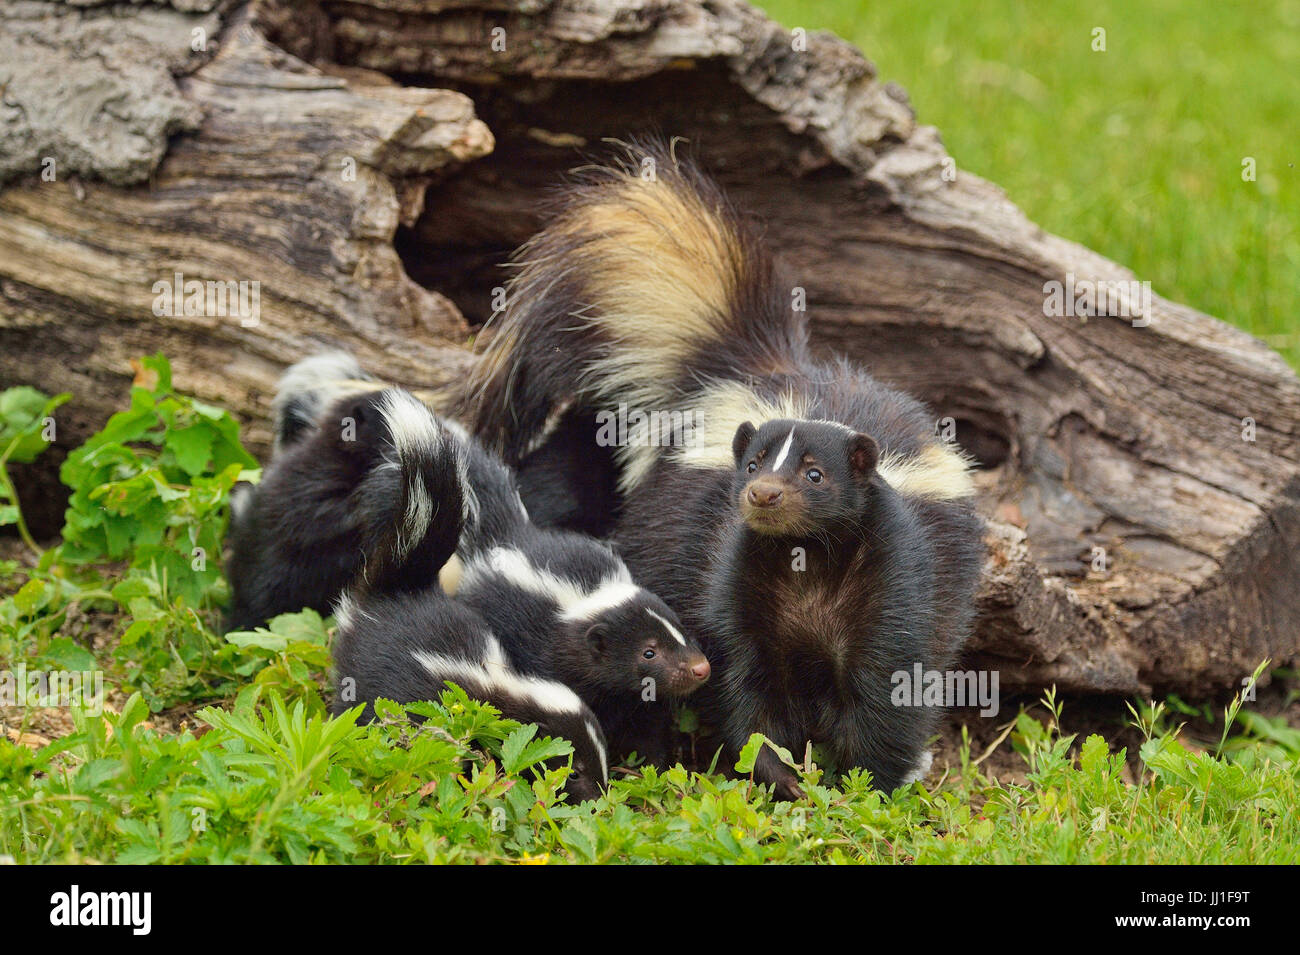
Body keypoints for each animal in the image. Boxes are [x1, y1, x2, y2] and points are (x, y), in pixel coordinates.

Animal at [322, 389, 611, 800]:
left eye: (600, 755)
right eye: (573, 771)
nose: (599, 796)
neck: (502, 686)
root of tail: (401, 589)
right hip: (359, 674)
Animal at [457, 140, 982, 800]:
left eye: (815, 475)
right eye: (753, 464)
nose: (763, 494)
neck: (808, 571)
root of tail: (748, 367)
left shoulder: (895, 582)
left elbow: (889, 687)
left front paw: (863, 786)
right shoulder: (733, 580)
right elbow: (745, 681)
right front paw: (779, 773)